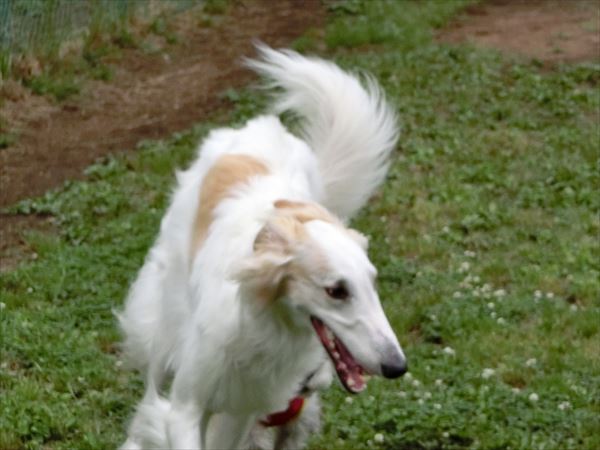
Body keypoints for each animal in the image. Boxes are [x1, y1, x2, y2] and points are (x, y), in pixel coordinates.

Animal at [119, 45, 406, 450]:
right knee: (149, 387)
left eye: (373, 284)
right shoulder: (187, 404)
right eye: (336, 290)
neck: (265, 324)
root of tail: (263, 127)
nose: (398, 366)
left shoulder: (242, 409)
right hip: (164, 318)